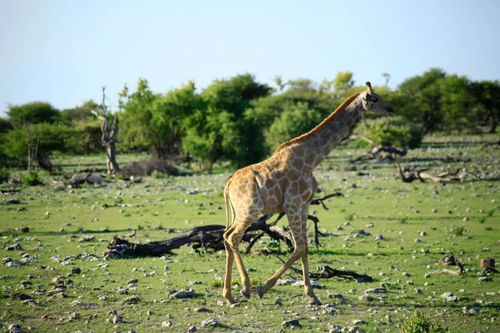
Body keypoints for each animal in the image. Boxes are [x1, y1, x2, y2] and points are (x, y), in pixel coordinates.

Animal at [223, 80, 394, 304]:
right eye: (374, 99)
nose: (392, 109)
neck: (311, 160)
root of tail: (229, 184)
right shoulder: (292, 205)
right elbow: (300, 247)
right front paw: (264, 288)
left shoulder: (303, 205)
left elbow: (305, 247)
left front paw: (312, 295)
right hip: (250, 209)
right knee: (233, 237)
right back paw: (245, 288)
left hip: (240, 211)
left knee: (226, 235)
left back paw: (229, 295)